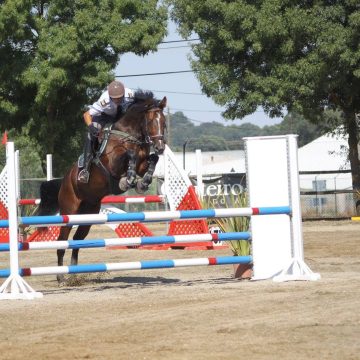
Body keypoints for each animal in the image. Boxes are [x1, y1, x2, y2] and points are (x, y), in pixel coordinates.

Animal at [37, 90, 167, 284]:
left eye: (164, 122)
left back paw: (74, 273)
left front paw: (142, 182)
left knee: (77, 240)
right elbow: (130, 155)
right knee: (62, 240)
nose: (160, 147)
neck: (128, 135)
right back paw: (61, 276)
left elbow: (152, 160)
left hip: (89, 214)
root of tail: (64, 181)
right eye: (151, 121)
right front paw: (128, 179)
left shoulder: (144, 162)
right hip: (69, 211)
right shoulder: (113, 162)